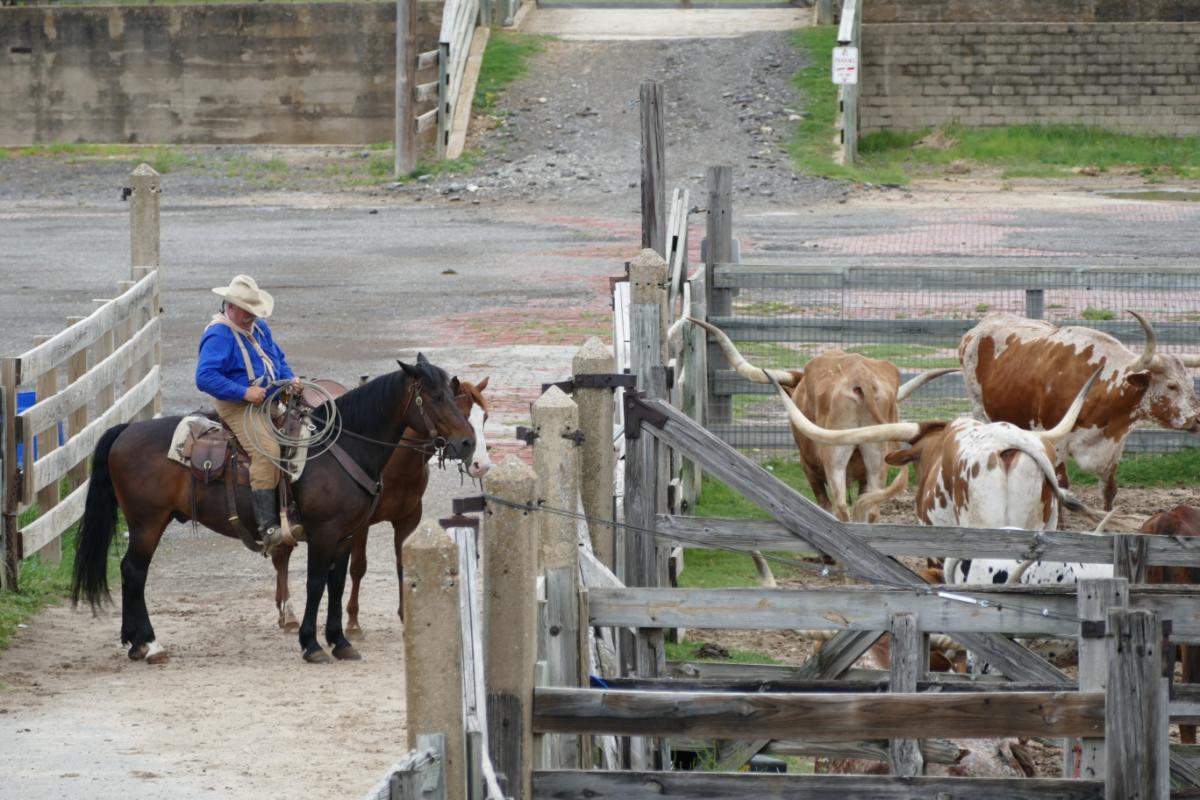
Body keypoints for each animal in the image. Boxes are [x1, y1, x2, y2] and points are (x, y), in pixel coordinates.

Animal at [271, 376, 492, 633]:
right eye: (461, 414)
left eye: (484, 418)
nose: (481, 465)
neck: (397, 463)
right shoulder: (360, 525)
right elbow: (358, 567)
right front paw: (353, 621)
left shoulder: (408, 520)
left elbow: (403, 565)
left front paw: (406, 617)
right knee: (282, 555)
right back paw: (287, 612)